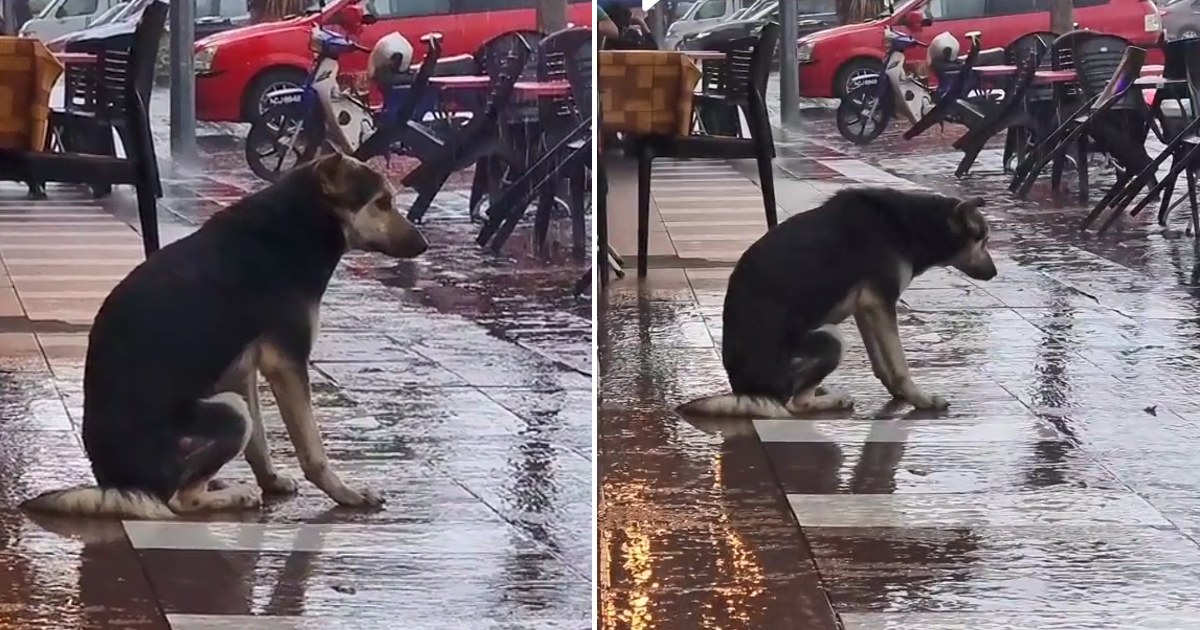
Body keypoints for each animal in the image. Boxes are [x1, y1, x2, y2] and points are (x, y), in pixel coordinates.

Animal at [21, 151, 429, 516]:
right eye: (382, 202)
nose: (425, 245)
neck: (299, 222)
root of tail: (119, 484)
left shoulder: (243, 369)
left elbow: (260, 444)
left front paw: (272, 482)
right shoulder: (287, 364)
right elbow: (312, 451)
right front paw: (345, 493)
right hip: (229, 412)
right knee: (179, 500)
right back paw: (231, 496)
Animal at [681, 189, 998, 420]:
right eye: (984, 240)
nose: (995, 274)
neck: (915, 225)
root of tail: (746, 390)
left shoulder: (868, 308)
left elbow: (883, 363)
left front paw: (898, 394)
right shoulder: (880, 302)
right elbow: (900, 365)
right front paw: (920, 399)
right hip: (830, 337)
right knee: (795, 404)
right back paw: (831, 399)